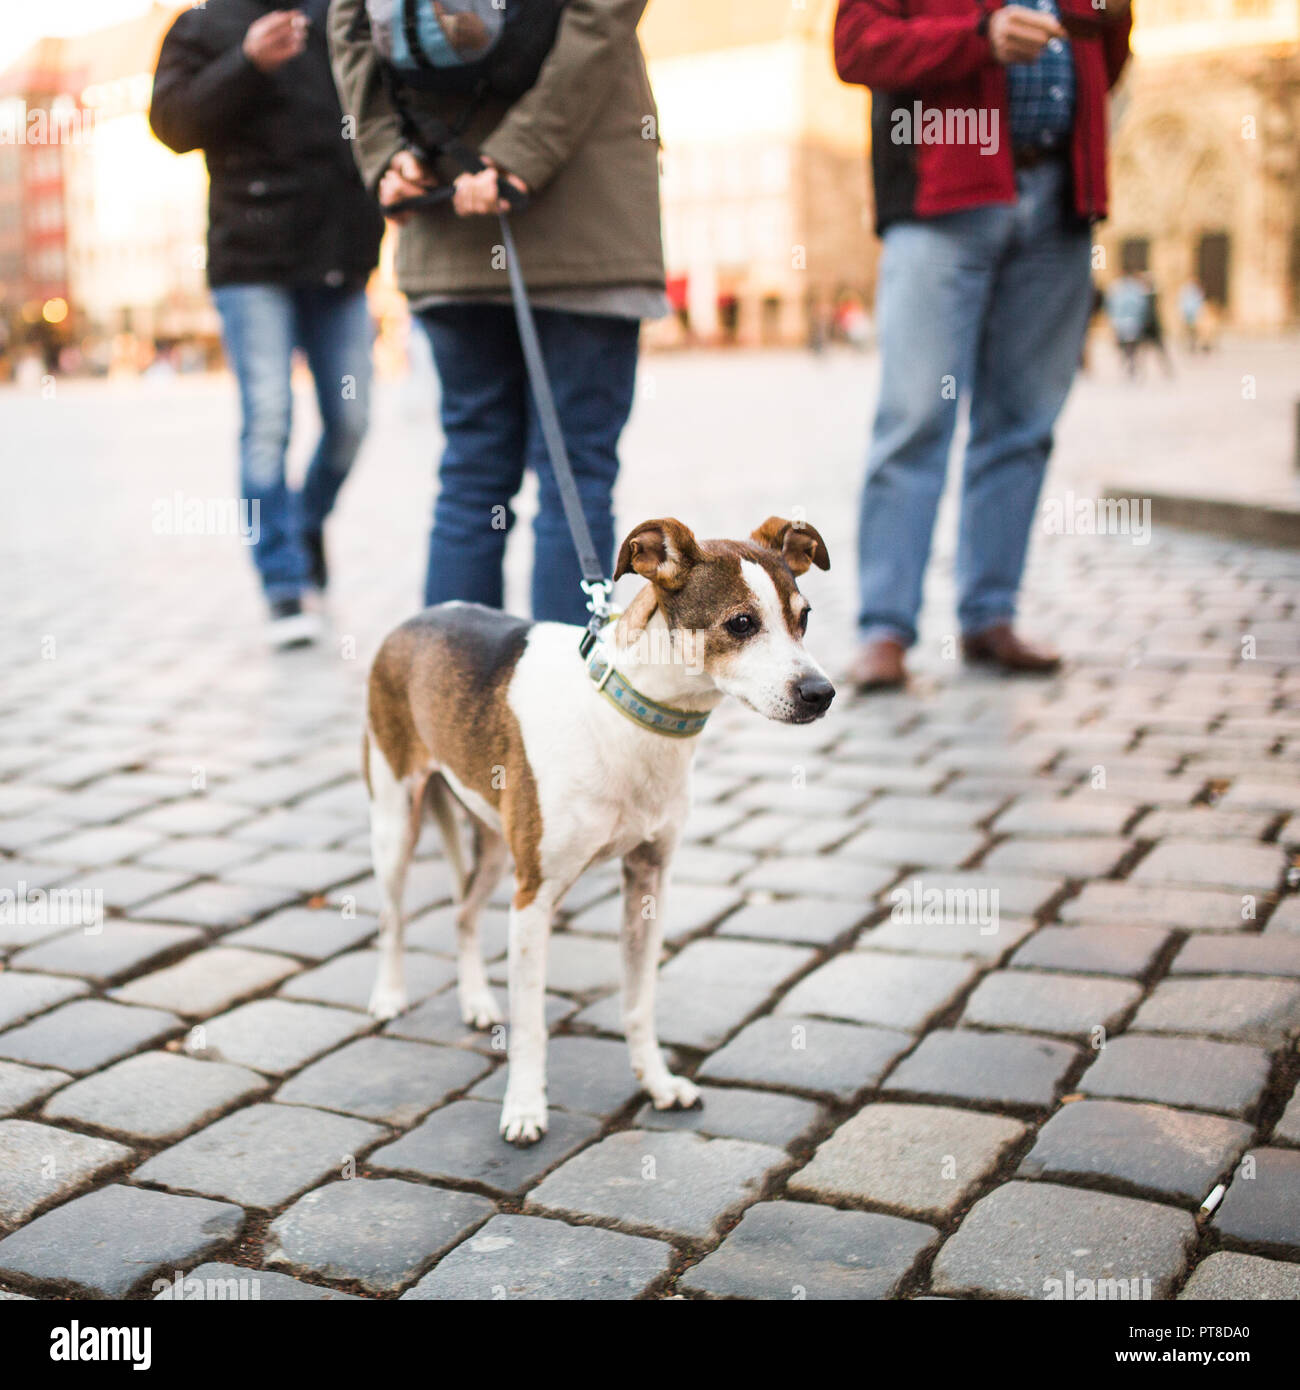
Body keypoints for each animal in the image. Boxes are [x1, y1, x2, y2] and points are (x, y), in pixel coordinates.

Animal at [364, 517, 834, 1145]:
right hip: (396, 822)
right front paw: (524, 1108)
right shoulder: (534, 899)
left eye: (803, 617)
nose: (822, 693)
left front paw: (656, 1084)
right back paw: (389, 996)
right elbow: (532, 1024)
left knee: (463, 913)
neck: (634, 717)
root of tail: (417, 617)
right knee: (393, 916)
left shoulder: (648, 882)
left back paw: (477, 1002)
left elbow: (638, 1004)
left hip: (497, 848)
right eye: (741, 623)